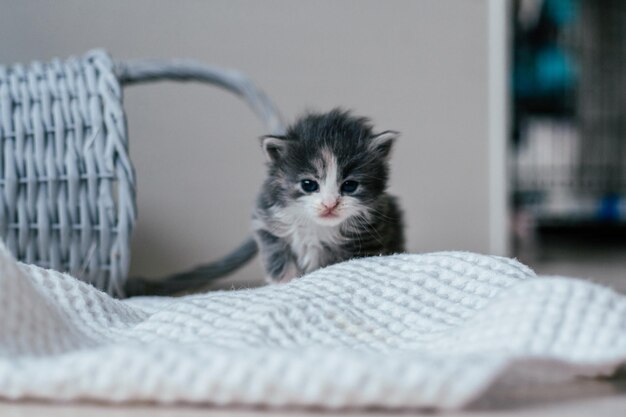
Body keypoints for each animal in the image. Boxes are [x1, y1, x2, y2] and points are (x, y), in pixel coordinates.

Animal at [251, 108, 402, 282]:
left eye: (350, 186)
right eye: (308, 185)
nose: (330, 204)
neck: (319, 228)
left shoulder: (369, 238)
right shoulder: (268, 226)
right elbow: (281, 263)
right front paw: (286, 282)